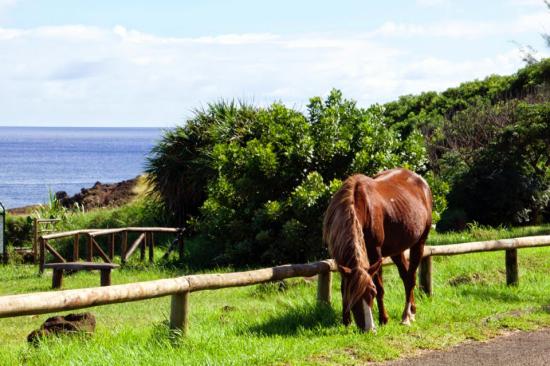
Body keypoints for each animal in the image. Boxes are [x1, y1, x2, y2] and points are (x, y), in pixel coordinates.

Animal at [324, 169, 436, 332]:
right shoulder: (340, 259)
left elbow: (380, 287)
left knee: (410, 279)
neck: (359, 205)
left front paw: (383, 319)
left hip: (419, 243)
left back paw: (406, 316)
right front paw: (346, 321)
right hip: (397, 250)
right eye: (353, 296)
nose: (369, 328)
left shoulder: (375, 253)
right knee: (406, 276)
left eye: (372, 292)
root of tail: (422, 182)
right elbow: (343, 286)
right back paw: (412, 310)